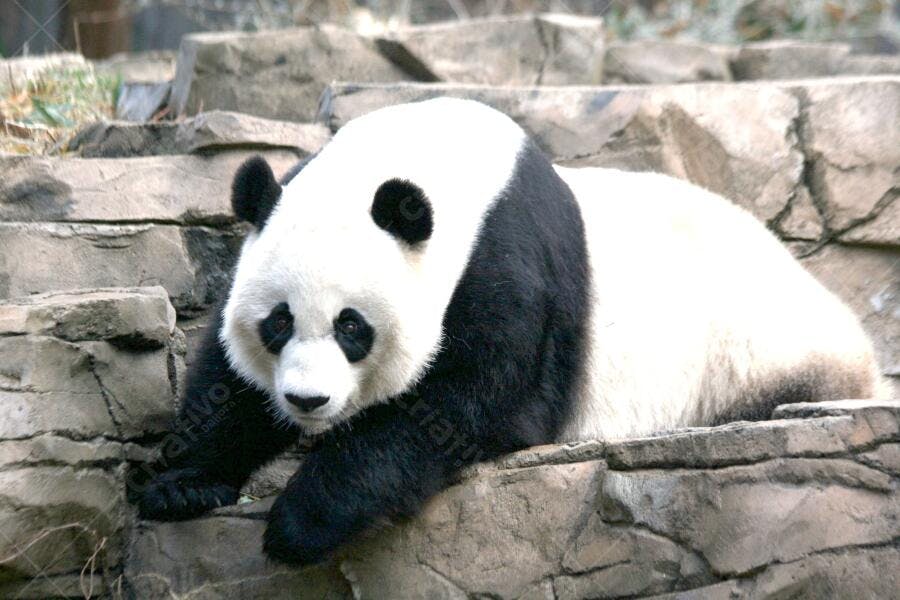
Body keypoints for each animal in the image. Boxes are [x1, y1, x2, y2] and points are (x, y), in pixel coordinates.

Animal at [138, 97, 886, 564]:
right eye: (279, 321)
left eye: (353, 327)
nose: (306, 401)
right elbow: (228, 383)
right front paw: (182, 484)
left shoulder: (510, 269)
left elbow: (468, 406)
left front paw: (302, 520)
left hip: (753, 346)